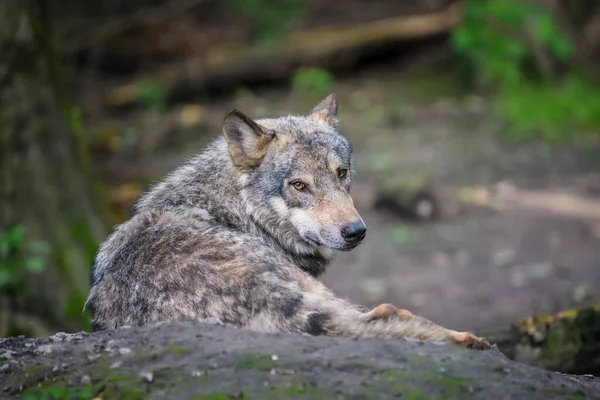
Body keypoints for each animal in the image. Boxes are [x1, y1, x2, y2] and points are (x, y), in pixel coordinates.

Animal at [84, 94, 492, 350]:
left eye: (341, 173)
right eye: (299, 185)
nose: (356, 232)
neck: (238, 211)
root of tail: (265, 305)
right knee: (387, 313)